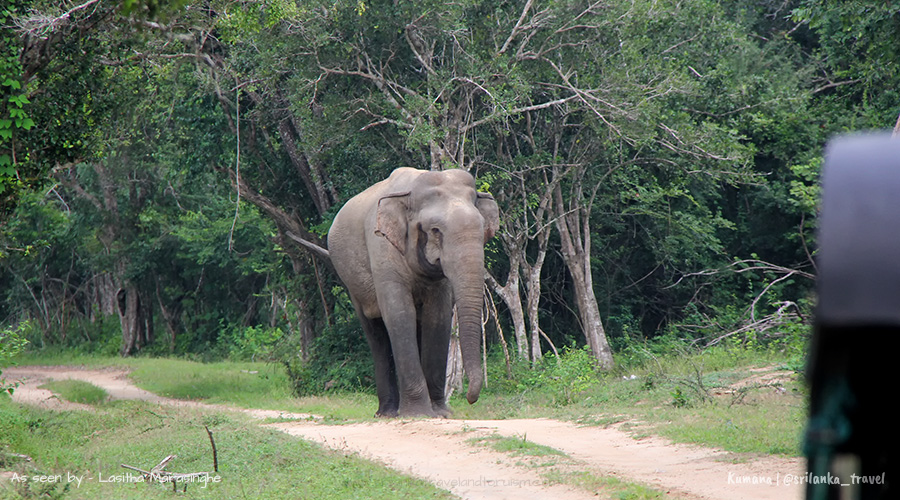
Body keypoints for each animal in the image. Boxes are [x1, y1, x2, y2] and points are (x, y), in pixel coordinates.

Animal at [328, 168, 502, 418]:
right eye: (436, 231)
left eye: (482, 229)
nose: (470, 399)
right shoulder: (382, 249)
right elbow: (400, 315)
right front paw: (419, 414)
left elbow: (437, 318)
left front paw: (441, 413)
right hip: (351, 283)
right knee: (375, 334)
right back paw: (387, 413)